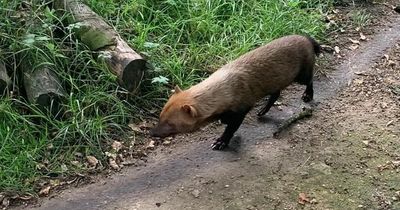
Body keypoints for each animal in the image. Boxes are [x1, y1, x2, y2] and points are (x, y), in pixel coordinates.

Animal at [148, 34, 320, 149]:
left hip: (301, 75)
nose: (151, 132)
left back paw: (307, 95)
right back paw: (262, 111)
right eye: (160, 116)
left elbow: (231, 128)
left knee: (310, 79)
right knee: (276, 93)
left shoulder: (242, 107)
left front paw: (220, 142)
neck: (227, 88)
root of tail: (306, 38)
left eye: (171, 123)